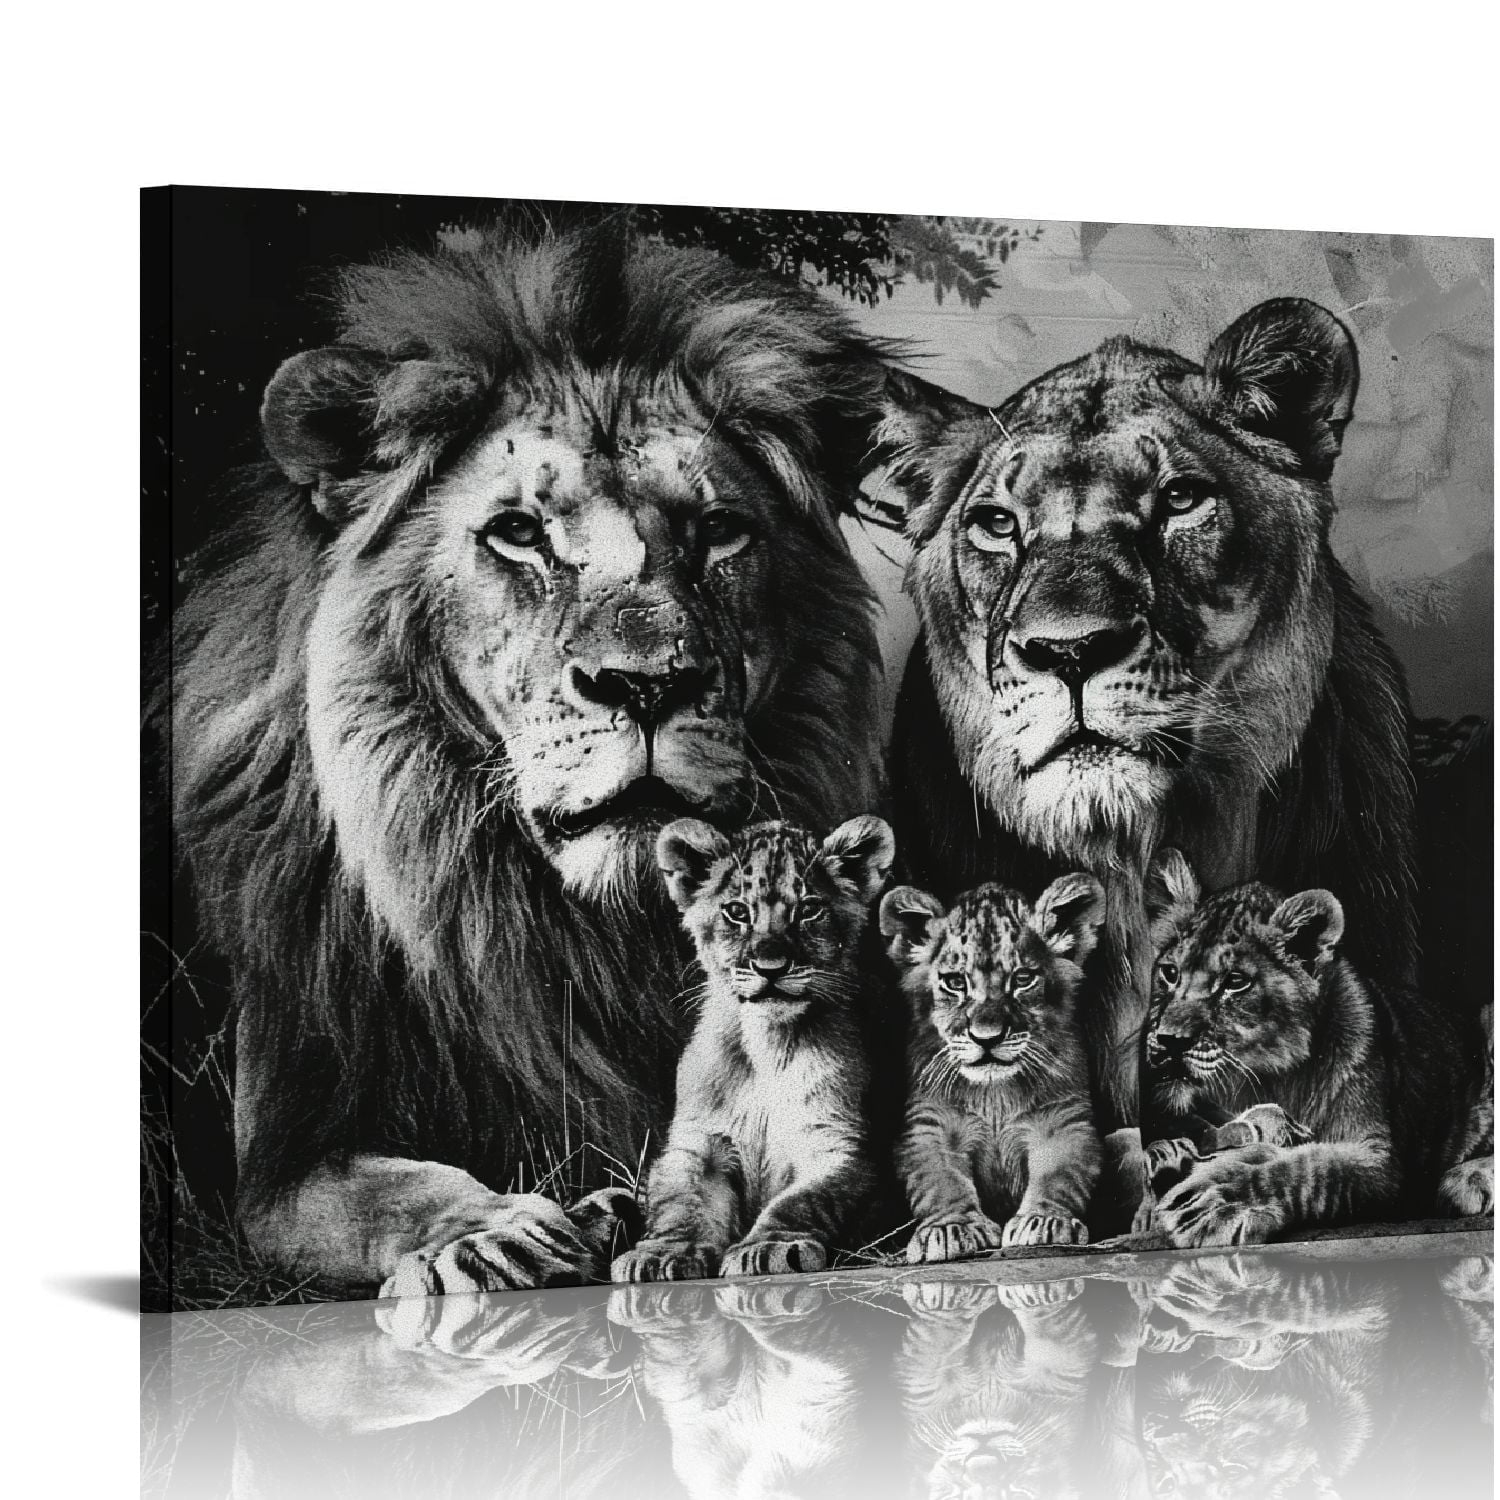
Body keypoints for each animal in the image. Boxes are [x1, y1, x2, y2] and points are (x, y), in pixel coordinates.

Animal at [168, 226, 899, 1298]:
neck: (583, 933)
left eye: (720, 530)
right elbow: (392, 1188)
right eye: (518, 533)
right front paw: (502, 1232)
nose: (647, 684)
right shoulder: (279, 1161)